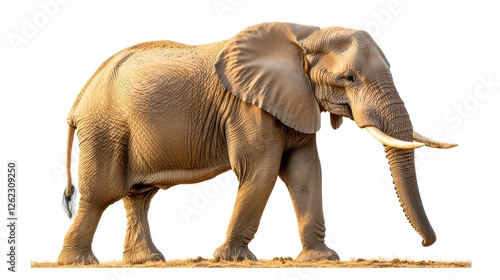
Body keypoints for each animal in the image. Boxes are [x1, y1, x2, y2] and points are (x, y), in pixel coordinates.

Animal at [57, 21, 458, 264]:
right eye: (349, 78)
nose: (427, 244)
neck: (305, 35)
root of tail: (77, 101)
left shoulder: (296, 101)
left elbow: (305, 172)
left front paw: (322, 259)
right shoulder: (248, 107)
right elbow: (261, 171)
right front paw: (230, 259)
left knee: (138, 196)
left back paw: (149, 261)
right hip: (105, 129)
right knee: (101, 194)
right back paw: (79, 263)